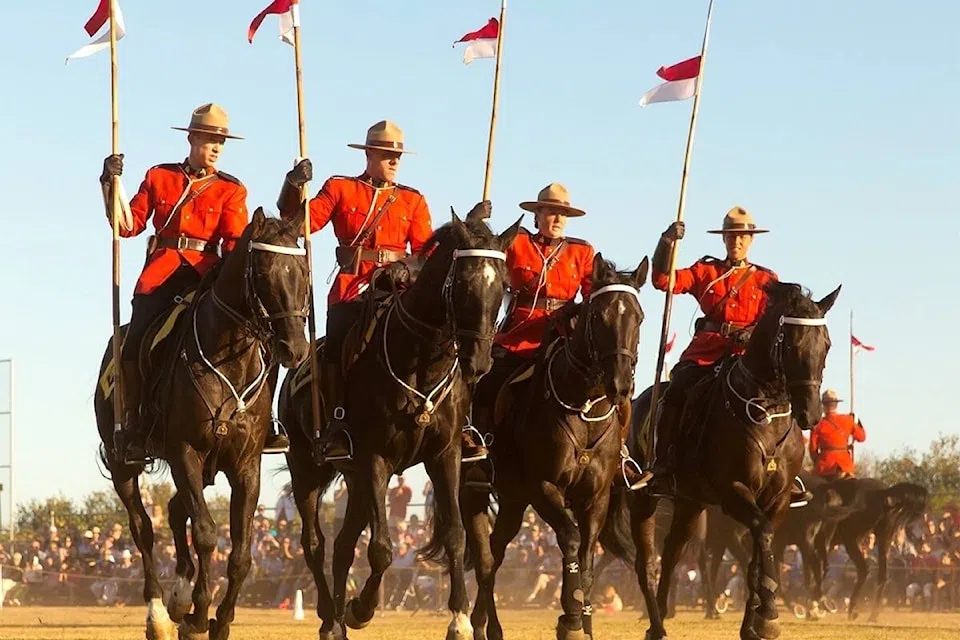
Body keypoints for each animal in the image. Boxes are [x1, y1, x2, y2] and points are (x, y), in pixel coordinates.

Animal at [95, 211, 310, 640]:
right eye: (264, 271)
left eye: (302, 272)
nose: (295, 348)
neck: (229, 358)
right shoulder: (185, 452)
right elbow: (207, 533)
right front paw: (197, 616)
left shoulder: (245, 465)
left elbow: (241, 551)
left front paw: (219, 619)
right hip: (124, 462)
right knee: (143, 527)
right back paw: (160, 613)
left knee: (176, 511)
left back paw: (179, 596)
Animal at [280, 211, 516, 640]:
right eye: (463, 282)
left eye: (503, 286)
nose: (480, 360)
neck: (420, 359)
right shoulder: (375, 459)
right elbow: (381, 549)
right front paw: (361, 609)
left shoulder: (445, 455)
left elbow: (455, 535)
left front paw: (458, 620)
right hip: (307, 468)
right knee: (315, 543)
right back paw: (330, 618)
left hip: (354, 480)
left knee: (342, 546)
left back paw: (337, 618)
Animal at [462, 255, 648, 640]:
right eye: (599, 316)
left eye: (638, 317)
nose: (621, 383)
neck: (584, 406)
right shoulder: (544, 488)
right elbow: (571, 539)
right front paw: (572, 615)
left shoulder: (596, 497)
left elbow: (588, 555)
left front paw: (583, 618)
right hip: (476, 491)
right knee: (486, 558)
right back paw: (485, 627)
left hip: (513, 501)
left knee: (496, 551)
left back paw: (481, 623)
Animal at [608, 282, 840, 640]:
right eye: (793, 342)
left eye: (826, 344)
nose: (811, 413)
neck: (767, 413)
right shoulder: (734, 492)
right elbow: (761, 537)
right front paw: (768, 616)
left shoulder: (777, 500)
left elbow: (757, 555)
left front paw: (754, 624)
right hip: (643, 500)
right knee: (647, 562)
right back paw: (657, 625)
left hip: (691, 503)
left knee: (673, 554)